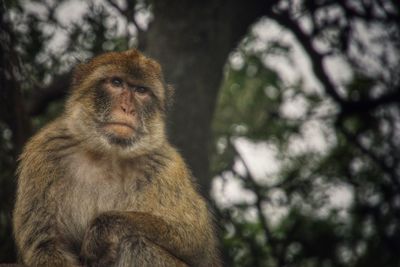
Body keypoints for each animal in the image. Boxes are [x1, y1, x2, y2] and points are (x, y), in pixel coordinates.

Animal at [12, 49, 220, 266]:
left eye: (141, 90)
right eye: (116, 83)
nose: (127, 109)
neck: (107, 154)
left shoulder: (167, 167)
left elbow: (199, 244)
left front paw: (103, 230)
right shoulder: (45, 151)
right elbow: (45, 244)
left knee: (136, 243)